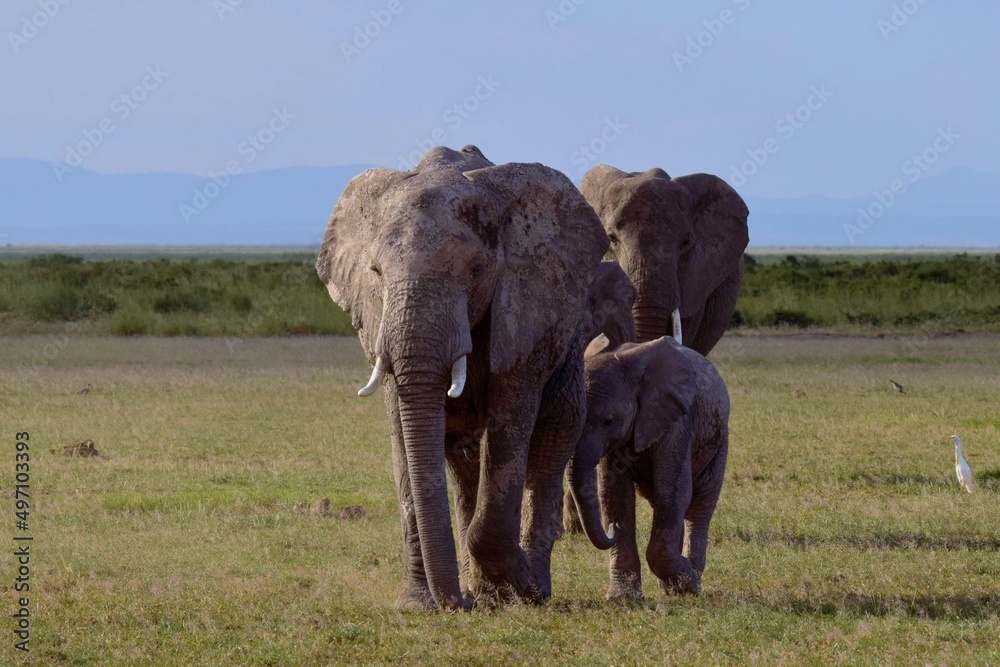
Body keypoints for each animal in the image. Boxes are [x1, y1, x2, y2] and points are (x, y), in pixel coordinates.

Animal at [316, 145, 614, 610]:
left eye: (475, 271)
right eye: (376, 273)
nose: (456, 603)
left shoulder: (522, 307)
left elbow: (509, 432)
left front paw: (516, 583)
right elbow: (404, 440)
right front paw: (418, 605)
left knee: (552, 439)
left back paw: (526, 589)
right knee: (461, 457)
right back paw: (486, 592)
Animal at [569, 335, 730, 599]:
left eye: (608, 422)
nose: (611, 528)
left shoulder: (677, 423)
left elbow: (673, 490)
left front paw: (687, 582)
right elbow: (614, 495)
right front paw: (622, 599)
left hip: (718, 439)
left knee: (700, 505)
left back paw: (690, 582)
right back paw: (671, 587)